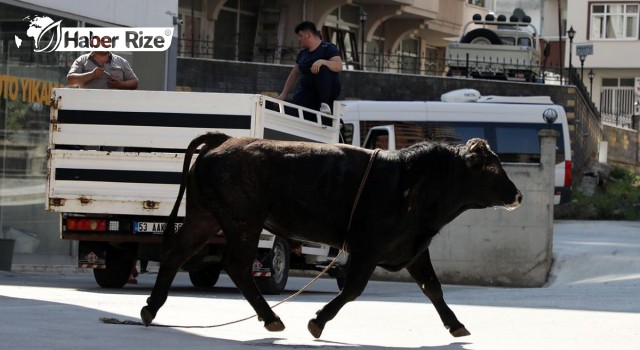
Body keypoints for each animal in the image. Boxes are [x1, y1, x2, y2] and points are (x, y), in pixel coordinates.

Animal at [142, 131, 524, 336]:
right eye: (494, 168)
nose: (518, 195)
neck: (414, 182)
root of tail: (223, 141)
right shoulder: (367, 250)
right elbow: (353, 289)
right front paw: (318, 322)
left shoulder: (413, 249)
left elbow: (433, 288)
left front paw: (456, 325)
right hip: (243, 223)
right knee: (236, 266)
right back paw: (272, 318)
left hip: (204, 218)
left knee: (175, 255)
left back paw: (150, 309)